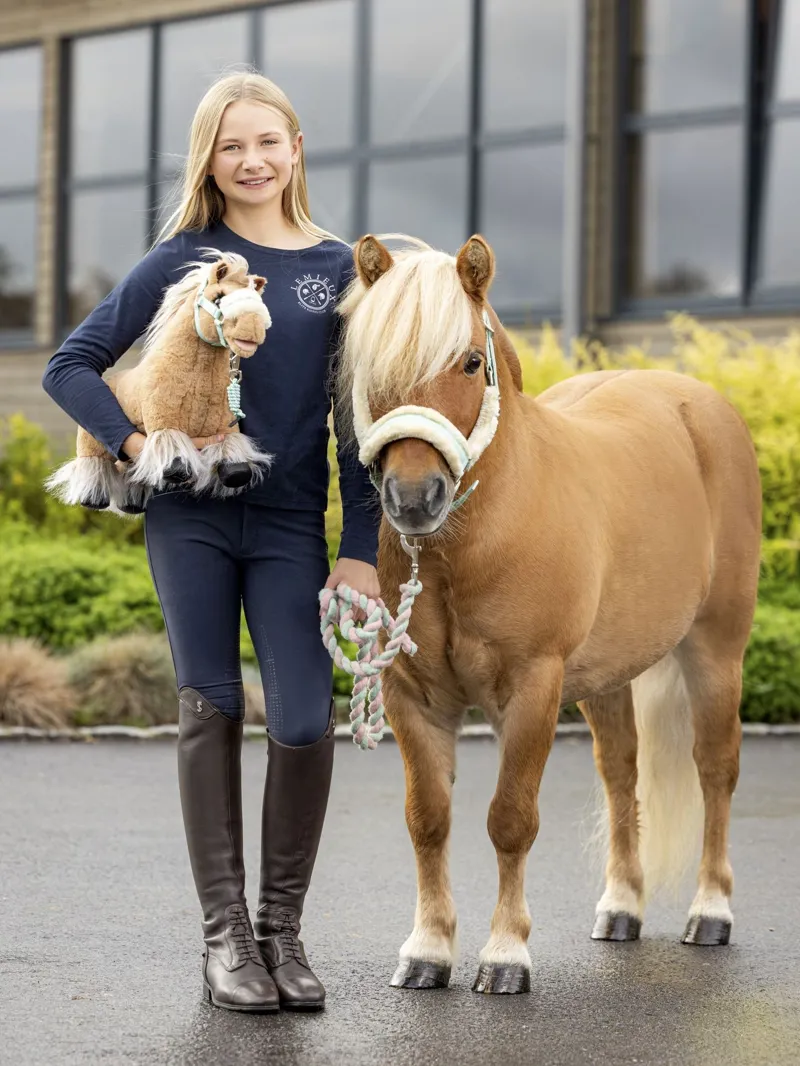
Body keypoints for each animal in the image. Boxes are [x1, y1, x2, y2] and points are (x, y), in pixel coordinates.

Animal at [47, 251, 273, 515]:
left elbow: (236, 465)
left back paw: (132, 504)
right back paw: (94, 499)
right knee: (96, 463)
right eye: (218, 298)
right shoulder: (164, 424)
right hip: (91, 442)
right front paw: (178, 472)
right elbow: (174, 459)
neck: (197, 381)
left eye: (257, 300)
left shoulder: (225, 430)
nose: (253, 330)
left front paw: (235, 474)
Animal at [337, 233, 762, 995]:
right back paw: (621, 908)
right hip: (608, 676)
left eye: (469, 362)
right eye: (372, 366)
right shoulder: (413, 696)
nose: (413, 498)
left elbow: (511, 819)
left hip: (716, 651)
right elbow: (427, 820)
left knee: (716, 768)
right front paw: (428, 950)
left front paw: (505, 955)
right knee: (621, 772)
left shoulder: (534, 688)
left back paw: (711, 912)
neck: (464, 550)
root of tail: (698, 405)